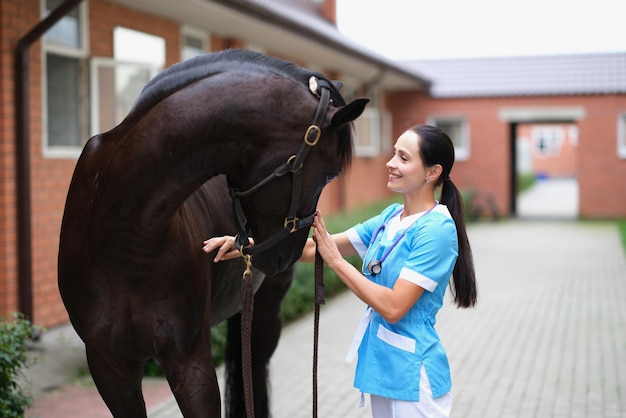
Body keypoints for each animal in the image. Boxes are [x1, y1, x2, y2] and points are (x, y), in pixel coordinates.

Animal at [57, 49, 366, 418]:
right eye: (331, 174)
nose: (289, 254)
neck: (123, 234)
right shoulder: (109, 367)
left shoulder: (189, 361)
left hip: (266, 316)